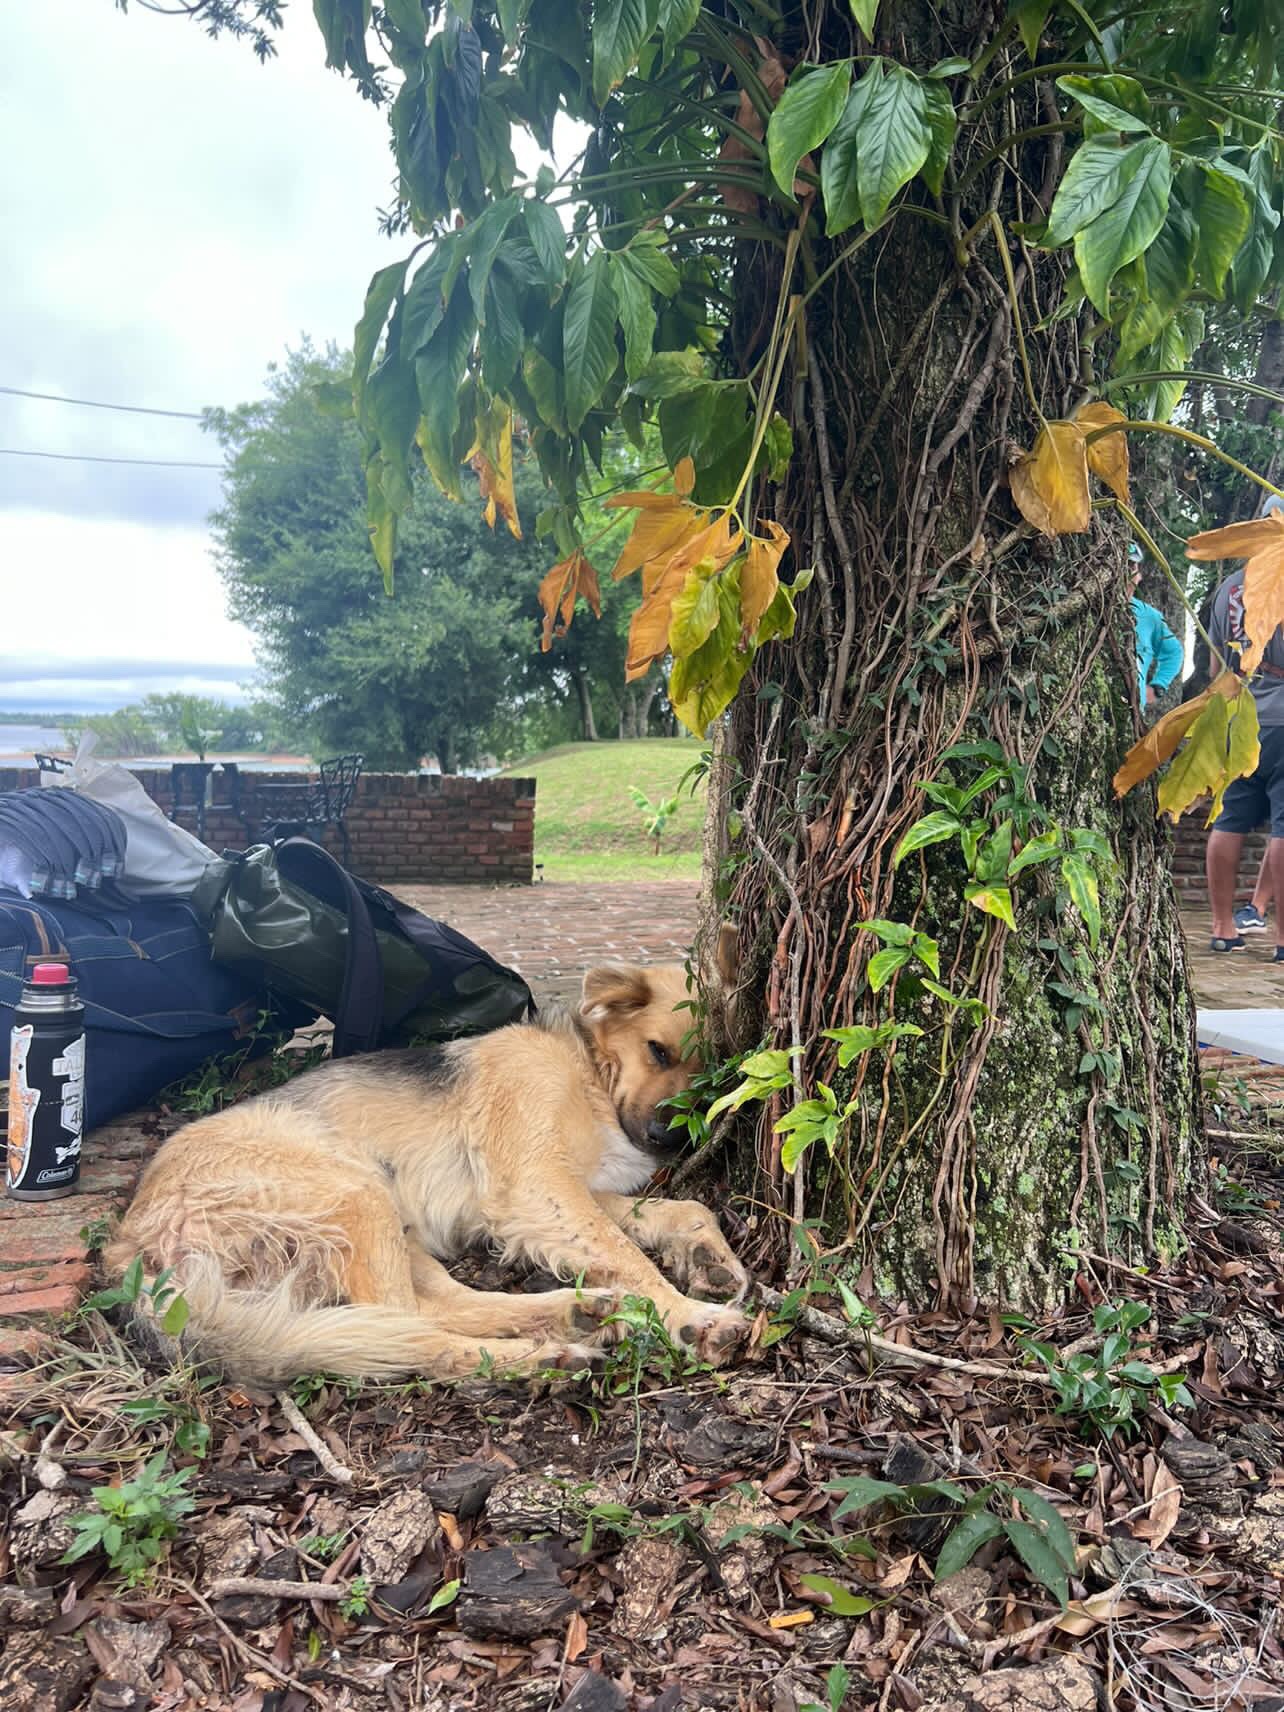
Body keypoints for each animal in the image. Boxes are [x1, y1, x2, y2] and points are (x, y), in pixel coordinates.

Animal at [103, 962, 750, 1385]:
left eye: (711, 1076)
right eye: (658, 1051)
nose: (667, 1141)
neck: (588, 1068)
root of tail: (130, 1243)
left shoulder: (559, 1194)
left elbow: (680, 1210)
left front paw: (710, 1260)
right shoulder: (537, 1183)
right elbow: (628, 1255)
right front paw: (689, 1317)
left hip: (387, 1229)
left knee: (431, 1310)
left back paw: (572, 1316)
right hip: (355, 1189)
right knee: (405, 1324)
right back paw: (543, 1355)